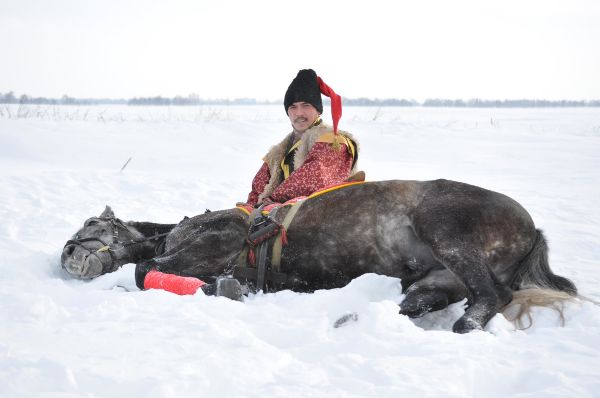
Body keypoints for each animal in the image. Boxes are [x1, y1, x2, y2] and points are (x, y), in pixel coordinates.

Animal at [61, 180, 576, 332]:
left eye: (90, 226)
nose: (67, 254)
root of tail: (532, 228)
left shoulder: (219, 240)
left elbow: (145, 268)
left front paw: (218, 288)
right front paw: (224, 288)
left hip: (447, 232)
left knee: (491, 296)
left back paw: (465, 325)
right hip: (433, 279)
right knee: (422, 301)